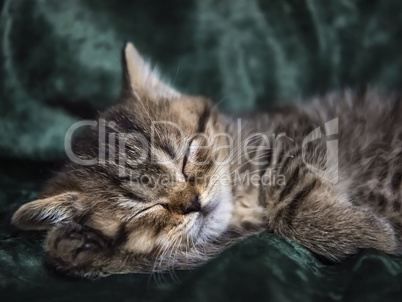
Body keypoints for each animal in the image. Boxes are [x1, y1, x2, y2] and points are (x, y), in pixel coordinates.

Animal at [11, 43, 402, 278]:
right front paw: (77, 245)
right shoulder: (230, 238)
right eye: (145, 208)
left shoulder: (302, 131)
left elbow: (289, 204)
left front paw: (373, 236)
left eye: (185, 158)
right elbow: (167, 256)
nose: (193, 203)